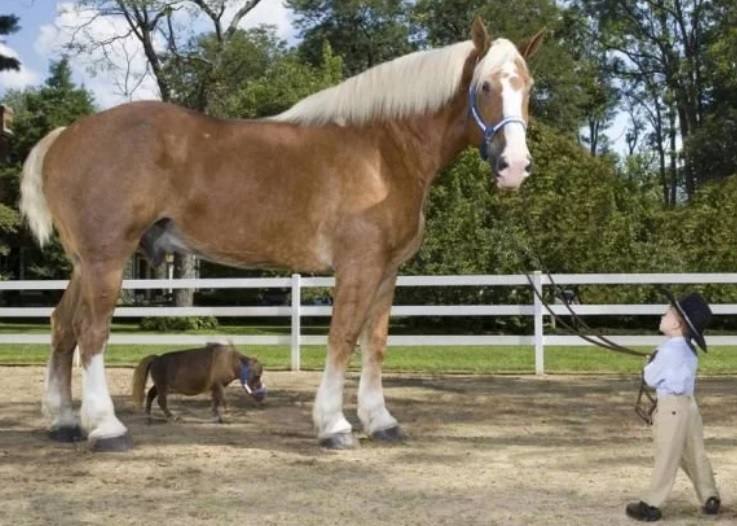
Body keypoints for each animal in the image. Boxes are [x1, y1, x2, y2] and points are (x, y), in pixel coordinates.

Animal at [131, 342, 265, 424]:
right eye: (257, 375)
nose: (261, 397)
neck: (231, 361)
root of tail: (156, 358)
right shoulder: (219, 385)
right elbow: (223, 400)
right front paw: (227, 416)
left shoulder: (215, 387)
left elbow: (215, 402)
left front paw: (217, 417)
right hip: (163, 387)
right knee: (161, 401)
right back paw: (172, 417)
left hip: (159, 386)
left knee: (150, 394)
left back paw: (149, 415)